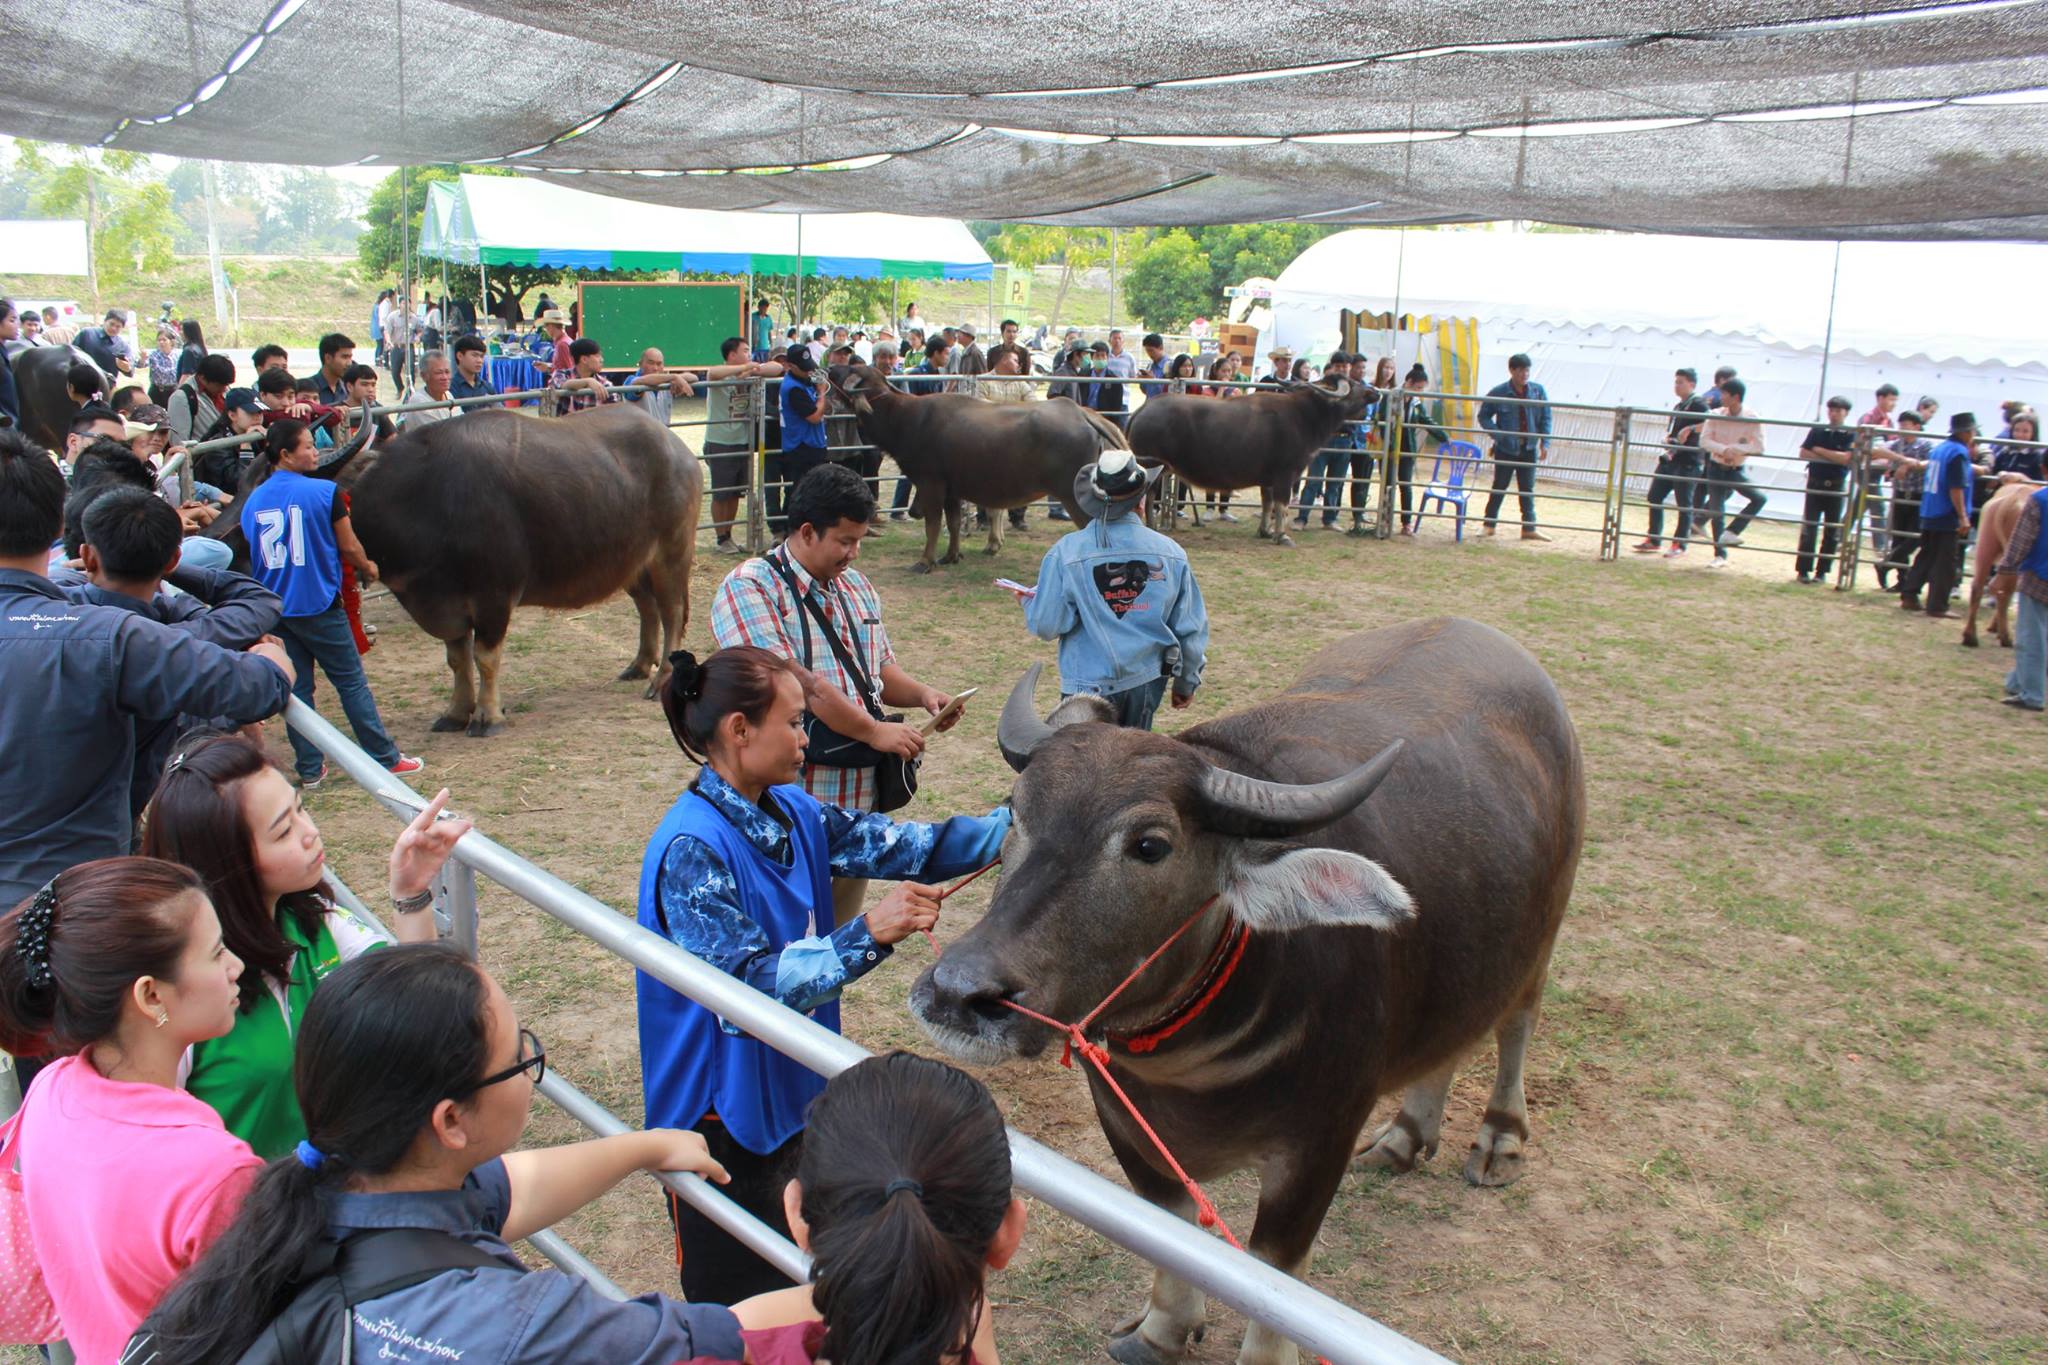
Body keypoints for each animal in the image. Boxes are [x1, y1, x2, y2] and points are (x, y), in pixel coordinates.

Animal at [216, 404, 699, 735]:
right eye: (241, 488)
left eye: (262, 504)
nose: (218, 541)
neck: (422, 499)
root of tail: (677, 450)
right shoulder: (444, 598)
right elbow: (456, 659)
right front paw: (455, 712)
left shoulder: (494, 597)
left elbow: (485, 657)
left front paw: (486, 716)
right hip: (632, 564)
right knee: (647, 610)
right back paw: (638, 665)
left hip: (671, 554)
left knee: (672, 612)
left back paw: (660, 679)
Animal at [829, 362, 1129, 572]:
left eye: (851, 368)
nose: (830, 367)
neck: (904, 417)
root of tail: (1082, 414)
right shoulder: (952, 489)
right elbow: (953, 521)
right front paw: (951, 555)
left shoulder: (930, 484)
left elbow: (933, 524)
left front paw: (925, 561)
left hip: (1073, 496)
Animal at [911, 617, 1584, 1365]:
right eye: (1014, 812)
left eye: (1150, 845)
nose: (958, 992)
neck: (1195, 1057)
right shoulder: (1127, 1127)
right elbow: (1172, 1233)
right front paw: (1162, 1330)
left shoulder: (1320, 1140)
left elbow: (1275, 1277)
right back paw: (1407, 1135)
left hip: (1540, 934)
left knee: (1515, 1022)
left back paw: (1499, 1137)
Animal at [1126, 379, 1374, 547]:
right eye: (1353, 383)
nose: (1374, 393)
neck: (1304, 416)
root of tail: (1142, 410)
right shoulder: (1285, 476)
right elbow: (1282, 505)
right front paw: (1282, 536)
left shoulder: (1268, 480)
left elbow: (1267, 503)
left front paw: (1265, 531)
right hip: (1153, 466)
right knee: (1147, 496)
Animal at [1962, 481, 2036, 648]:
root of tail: (2011, 499)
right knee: (2003, 591)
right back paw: (2006, 637)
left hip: (1986, 544)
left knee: (1980, 586)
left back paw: (1971, 636)